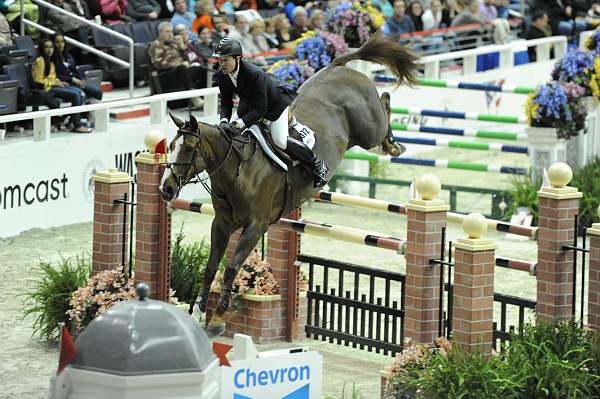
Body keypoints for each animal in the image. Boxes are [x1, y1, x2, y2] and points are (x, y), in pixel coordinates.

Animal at [158, 32, 418, 338]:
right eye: (170, 146)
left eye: (188, 149)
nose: (166, 189)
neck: (238, 170)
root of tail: (338, 67)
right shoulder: (221, 223)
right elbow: (212, 267)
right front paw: (198, 313)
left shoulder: (255, 226)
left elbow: (232, 267)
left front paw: (218, 319)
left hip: (367, 131)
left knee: (384, 105)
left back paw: (393, 143)